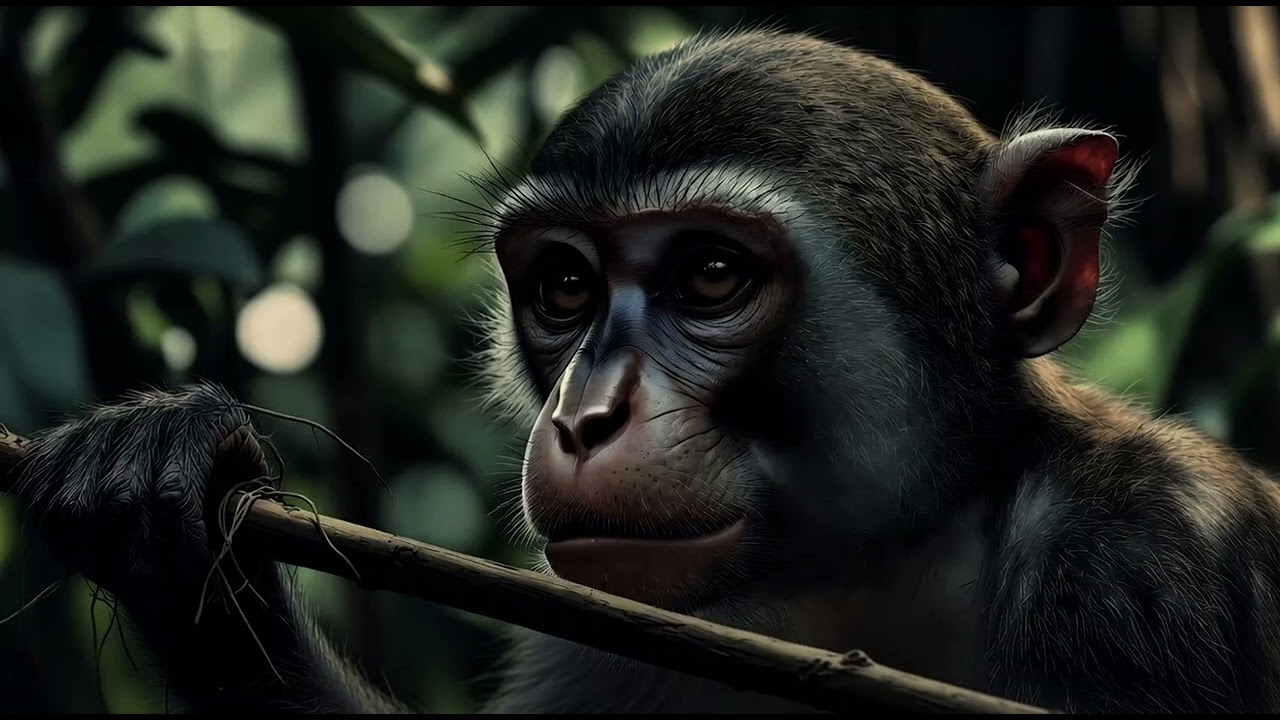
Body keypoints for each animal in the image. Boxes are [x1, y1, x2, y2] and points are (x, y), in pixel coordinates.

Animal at [12, 27, 1280, 714]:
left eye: (710, 275)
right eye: (565, 288)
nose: (587, 415)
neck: (883, 568)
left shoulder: (1136, 561)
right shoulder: (602, 635)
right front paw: (180, 523)